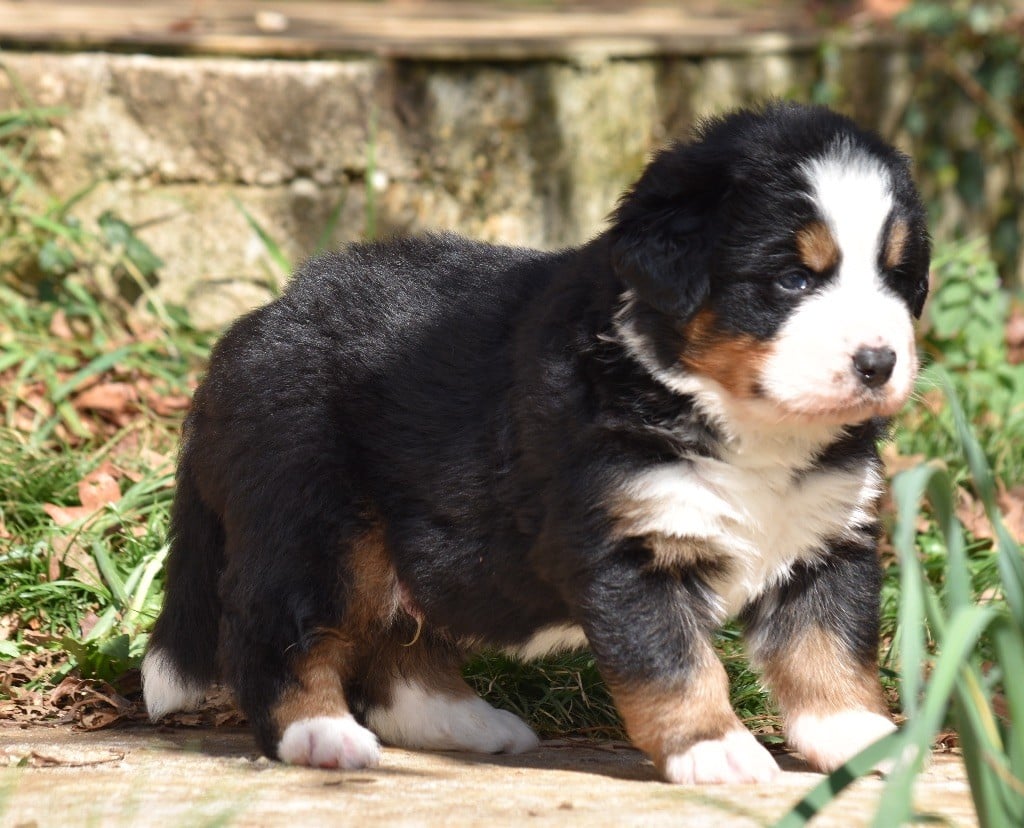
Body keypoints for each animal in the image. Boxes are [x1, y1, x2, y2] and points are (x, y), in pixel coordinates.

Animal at [140, 101, 933, 781]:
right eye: (793, 279)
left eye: (898, 279)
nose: (878, 363)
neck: (741, 422)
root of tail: (251, 331)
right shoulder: (626, 547)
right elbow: (675, 662)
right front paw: (715, 750)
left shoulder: (826, 538)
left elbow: (828, 650)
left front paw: (861, 737)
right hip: (316, 525)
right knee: (279, 631)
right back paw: (321, 734)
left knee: (398, 643)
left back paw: (463, 722)